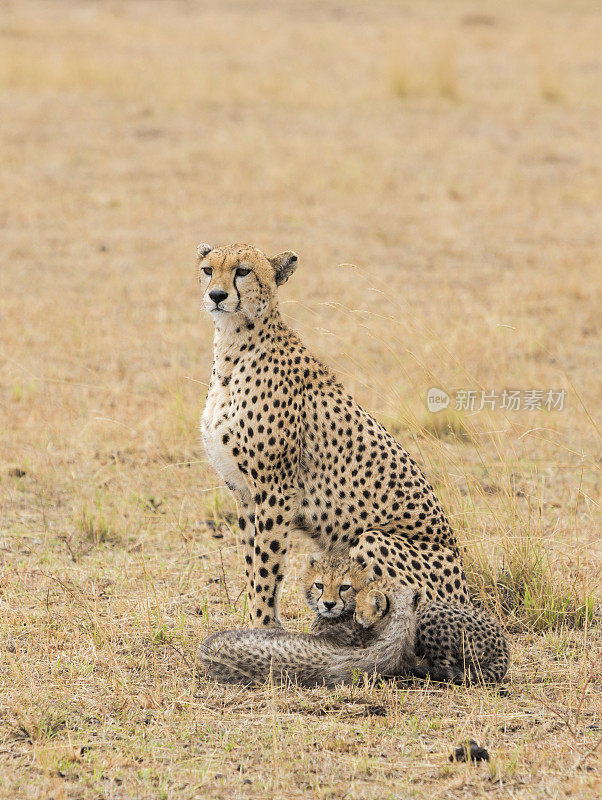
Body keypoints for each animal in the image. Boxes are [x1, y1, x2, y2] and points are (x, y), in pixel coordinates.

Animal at [197, 241, 468, 628]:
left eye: (243, 271)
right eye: (208, 269)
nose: (216, 295)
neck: (232, 348)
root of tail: (467, 593)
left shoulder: (277, 490)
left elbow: (266, 568)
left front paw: (263, 629)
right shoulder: (245, 493)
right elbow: (252, 566)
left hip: (372, 539)